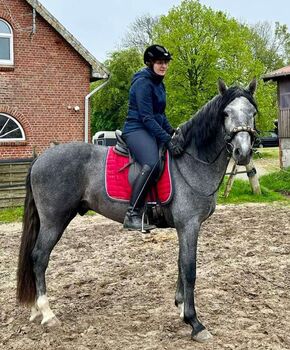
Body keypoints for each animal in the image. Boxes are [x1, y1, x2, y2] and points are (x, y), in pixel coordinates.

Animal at [16, 78, 256, 342]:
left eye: (253, 113)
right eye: (225, 113)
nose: (243, 153)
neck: (191, 160)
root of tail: (40, 159)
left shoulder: (184, 228)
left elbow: (181, 265)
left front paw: (181, 308)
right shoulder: (189, 225)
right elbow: (190, 269)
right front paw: (194, 322)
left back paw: (36, 310)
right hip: (54, 220)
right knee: (39, 257)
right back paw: (47, 313)